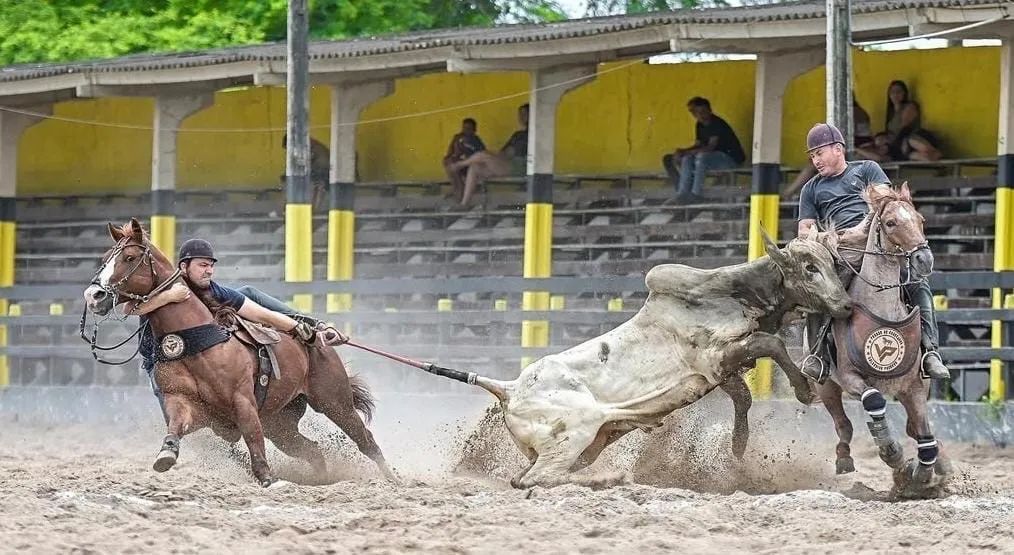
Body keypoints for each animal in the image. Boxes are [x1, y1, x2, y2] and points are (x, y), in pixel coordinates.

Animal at [83, 218, 397, 487]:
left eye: (129, 257)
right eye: (105, 258)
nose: (94, 295)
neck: (195, 342)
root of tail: (321, 343)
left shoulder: (243, 401)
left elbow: (253, 440)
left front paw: (268, 479)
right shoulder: (182, 403)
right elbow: (176, 425)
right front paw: (166, 454)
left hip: (334, 402)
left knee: (365, 440)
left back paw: (393, 480)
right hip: (280, 424)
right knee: (313, 450)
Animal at [814, 183, 952, 497]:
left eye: (920, 220)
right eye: (890, 223)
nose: (924, 259)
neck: (882, 309)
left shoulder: (915, 388)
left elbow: (925, 437)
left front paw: (922, 475)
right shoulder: (852, 379)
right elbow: (874, 402)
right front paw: (894, 455)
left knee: (914, 428)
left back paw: (942, 464)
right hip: (826, 385)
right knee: (843, 425)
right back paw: (844, 458)